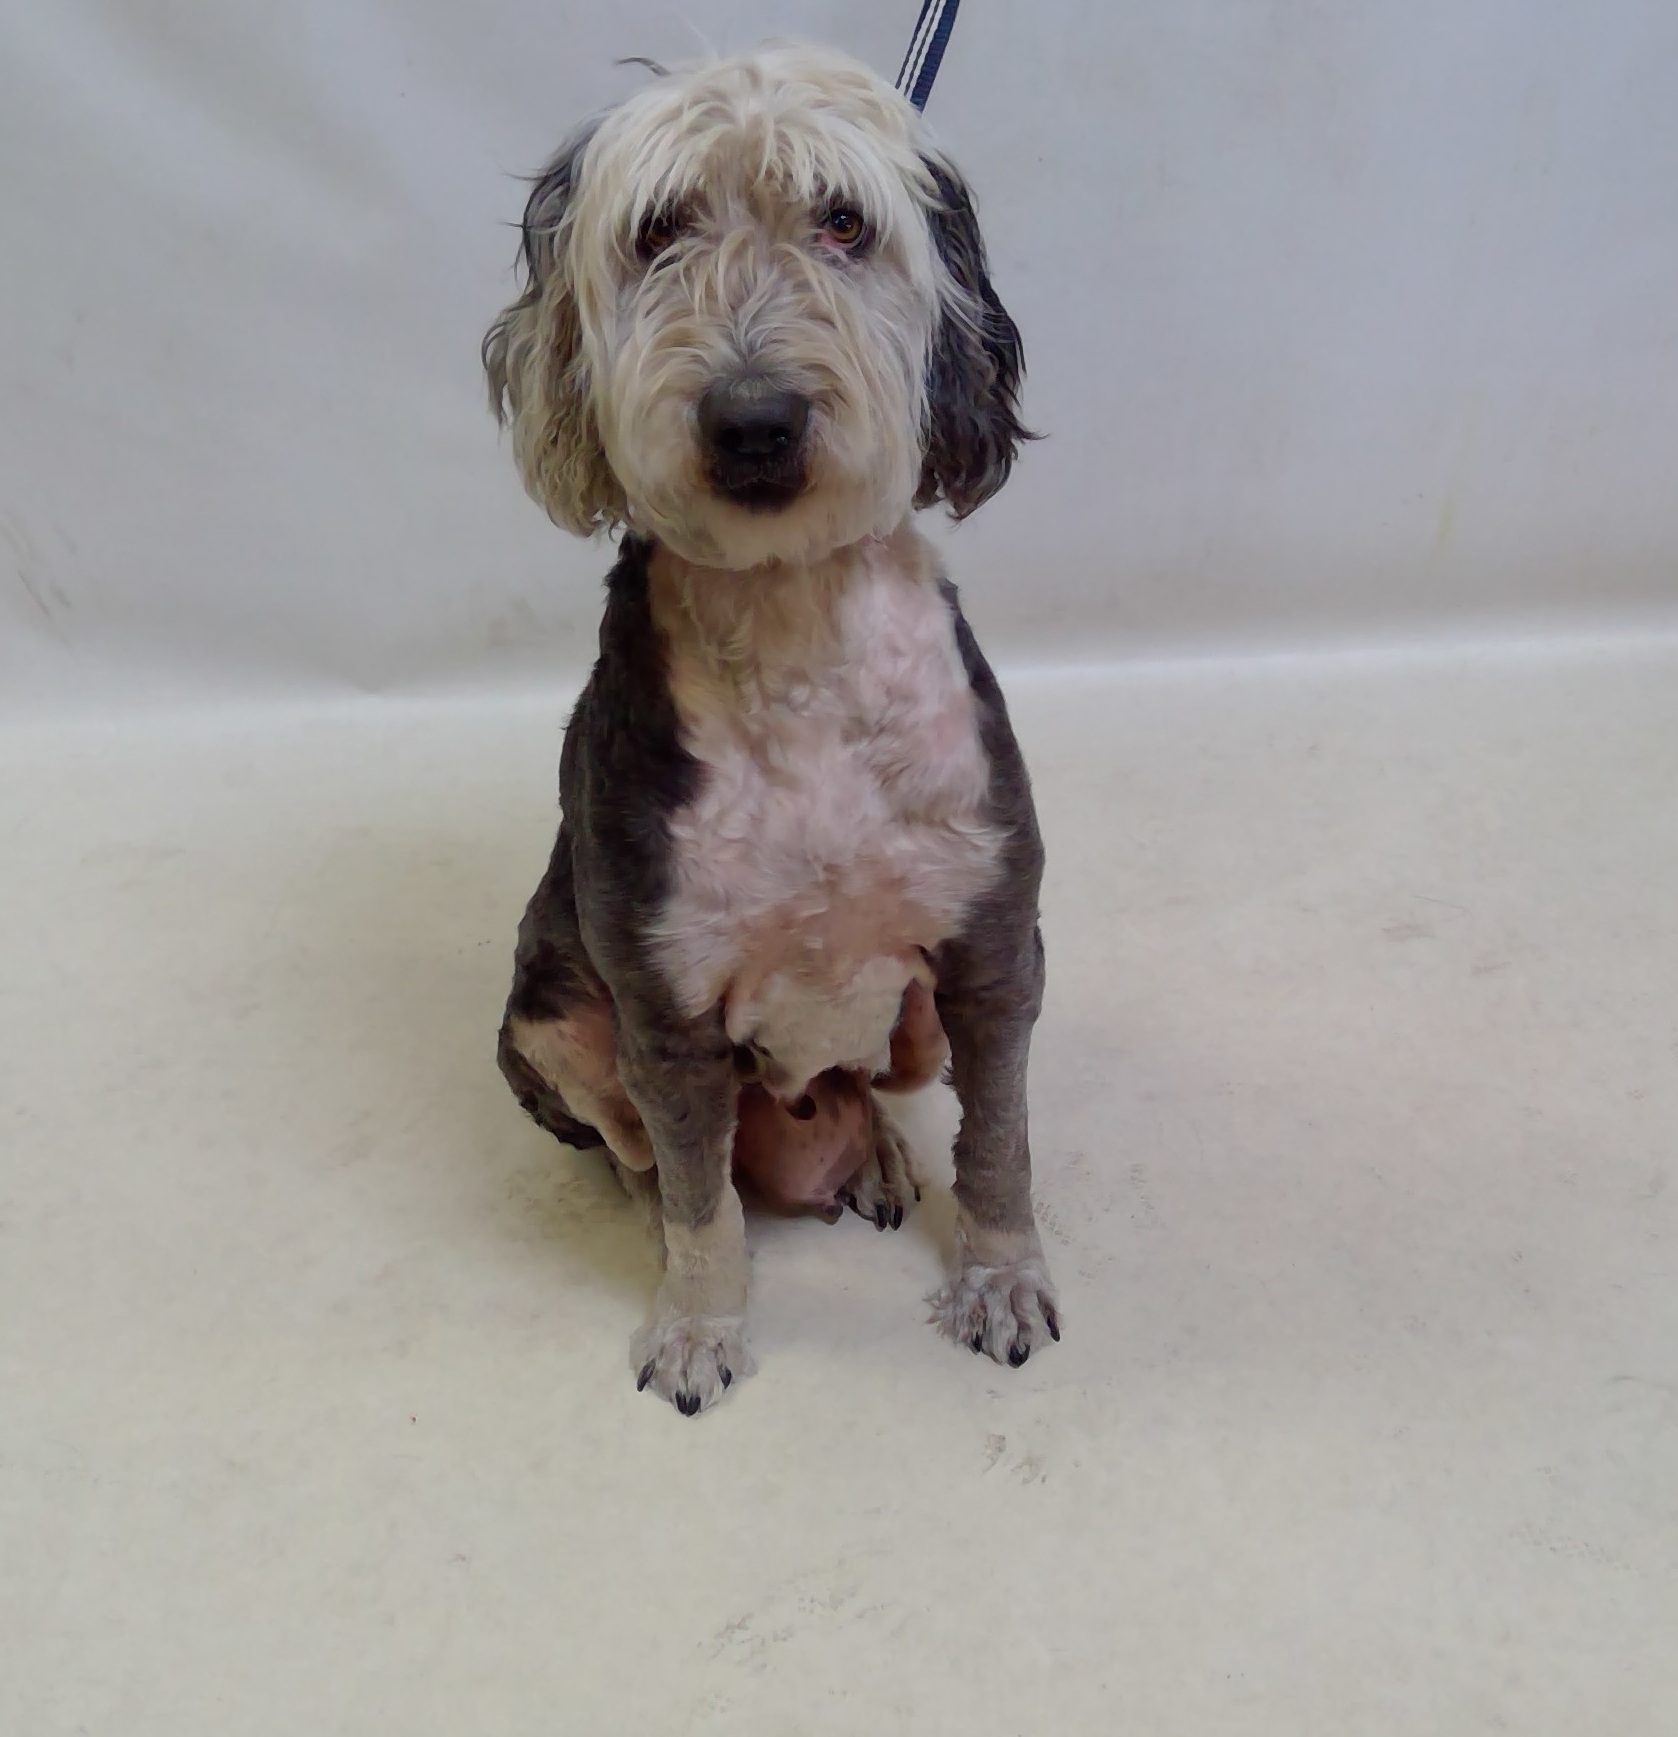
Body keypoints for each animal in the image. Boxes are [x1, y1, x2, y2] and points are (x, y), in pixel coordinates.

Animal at [484, 42, 1059, 1413]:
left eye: (843, 221)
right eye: (658, 231)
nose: (753, 420)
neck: (793, 628)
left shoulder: (995, 953)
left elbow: (1001, 1143)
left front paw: (1001, 1279)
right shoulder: (667, 1014)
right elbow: (702, 1205)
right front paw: (698, 1326)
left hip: (911, 1028)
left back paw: (881, 1159)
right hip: (547, 1023)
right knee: (644, 1161)